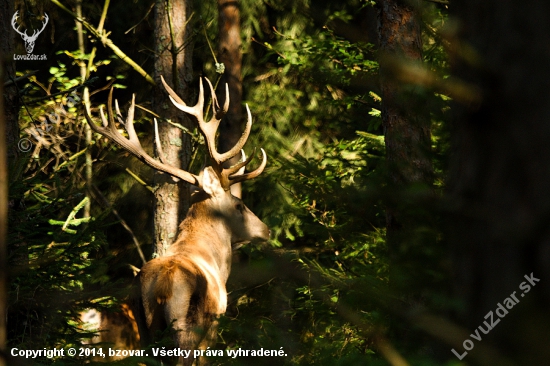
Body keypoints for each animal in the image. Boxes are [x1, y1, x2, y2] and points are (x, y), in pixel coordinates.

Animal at [84, 76, 272, 364]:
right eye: (239, 205)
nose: (266, 230)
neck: (216, 264)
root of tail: (163, 285)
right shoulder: (215, 320)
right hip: (186, 324)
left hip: (146, 326)